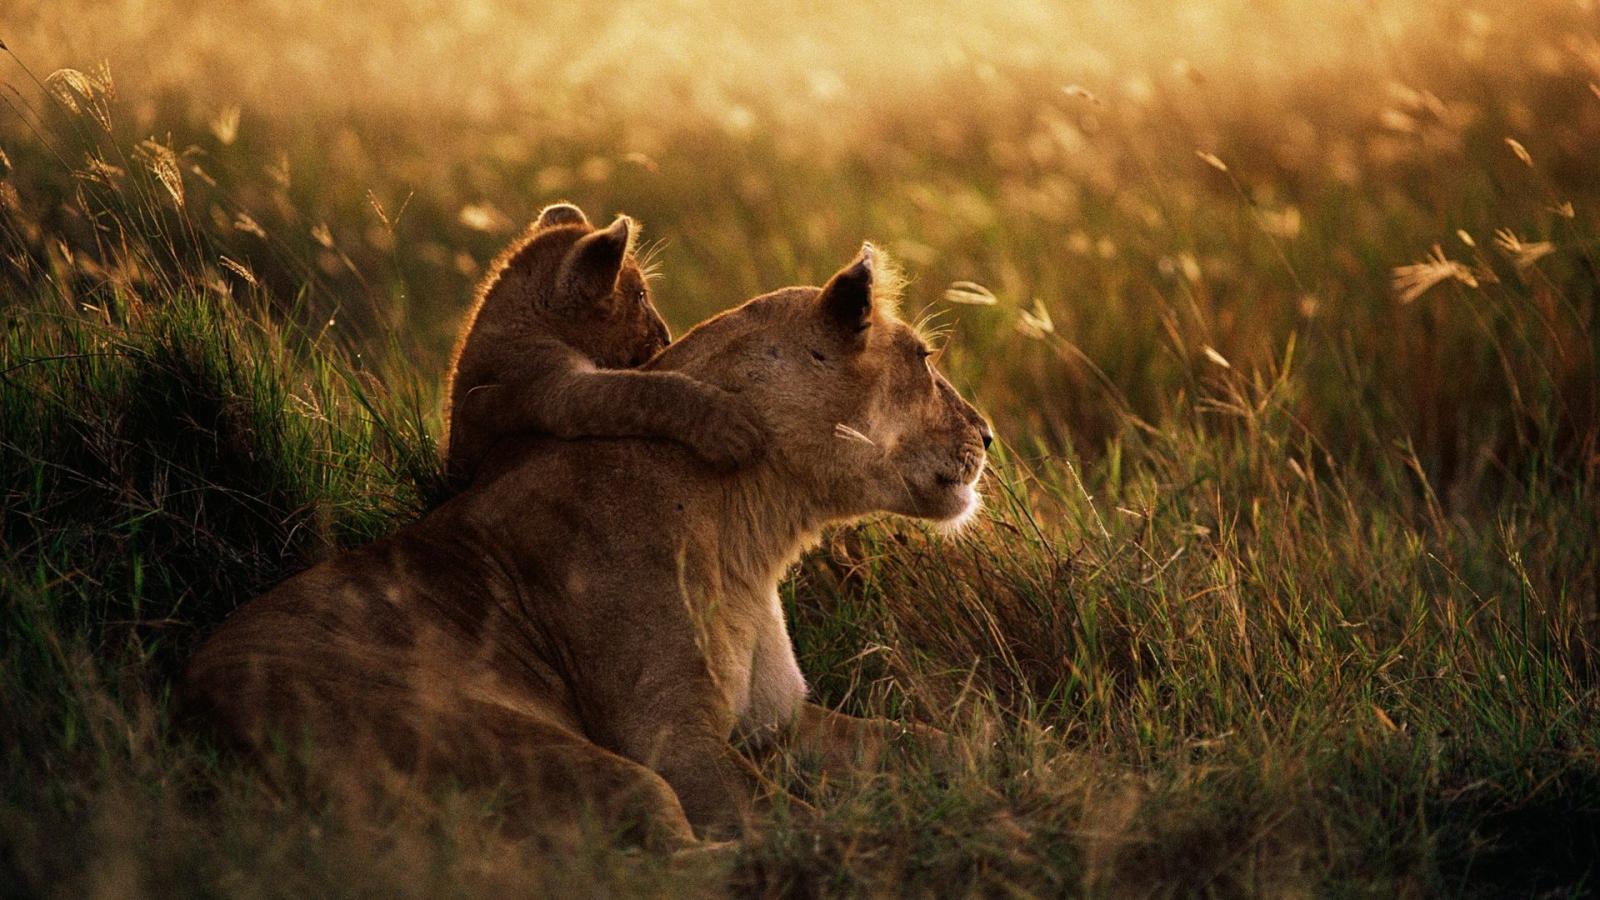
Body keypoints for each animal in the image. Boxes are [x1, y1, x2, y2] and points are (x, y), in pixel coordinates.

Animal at [181, 243, 992, 847]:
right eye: (925, 359)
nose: (988, 435)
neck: (756, 528)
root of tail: (192, 714)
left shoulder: (778, 721)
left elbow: (931, 739)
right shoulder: (668, 735)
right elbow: (787, 820)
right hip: (536, 749)